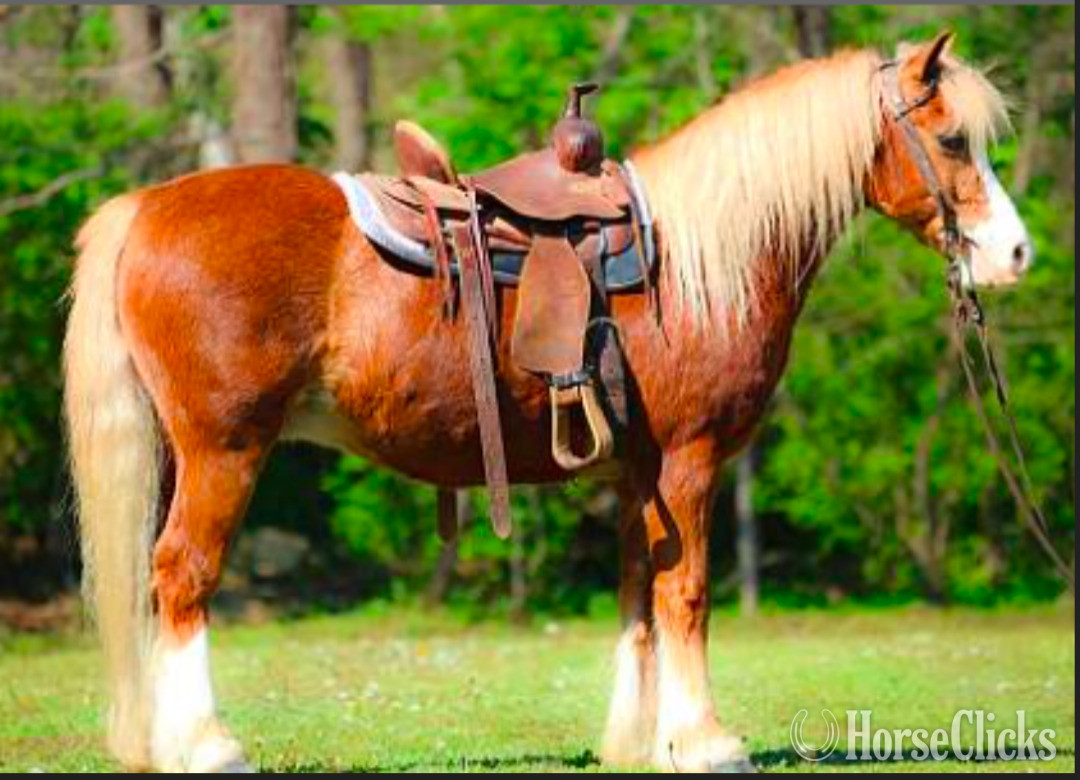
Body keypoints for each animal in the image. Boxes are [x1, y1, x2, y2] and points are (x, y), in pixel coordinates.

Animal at [64, 32, 1031, 773]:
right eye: (952, 142)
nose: (1015, 253)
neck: (700, 258)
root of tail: (145, 206)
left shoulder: (641, 470)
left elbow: (641, 592)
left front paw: (638, 741)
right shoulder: (690, 460)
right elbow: (688, 594)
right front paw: (706, 741)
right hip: (224, 448)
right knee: (184, 574)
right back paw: (207, 745)